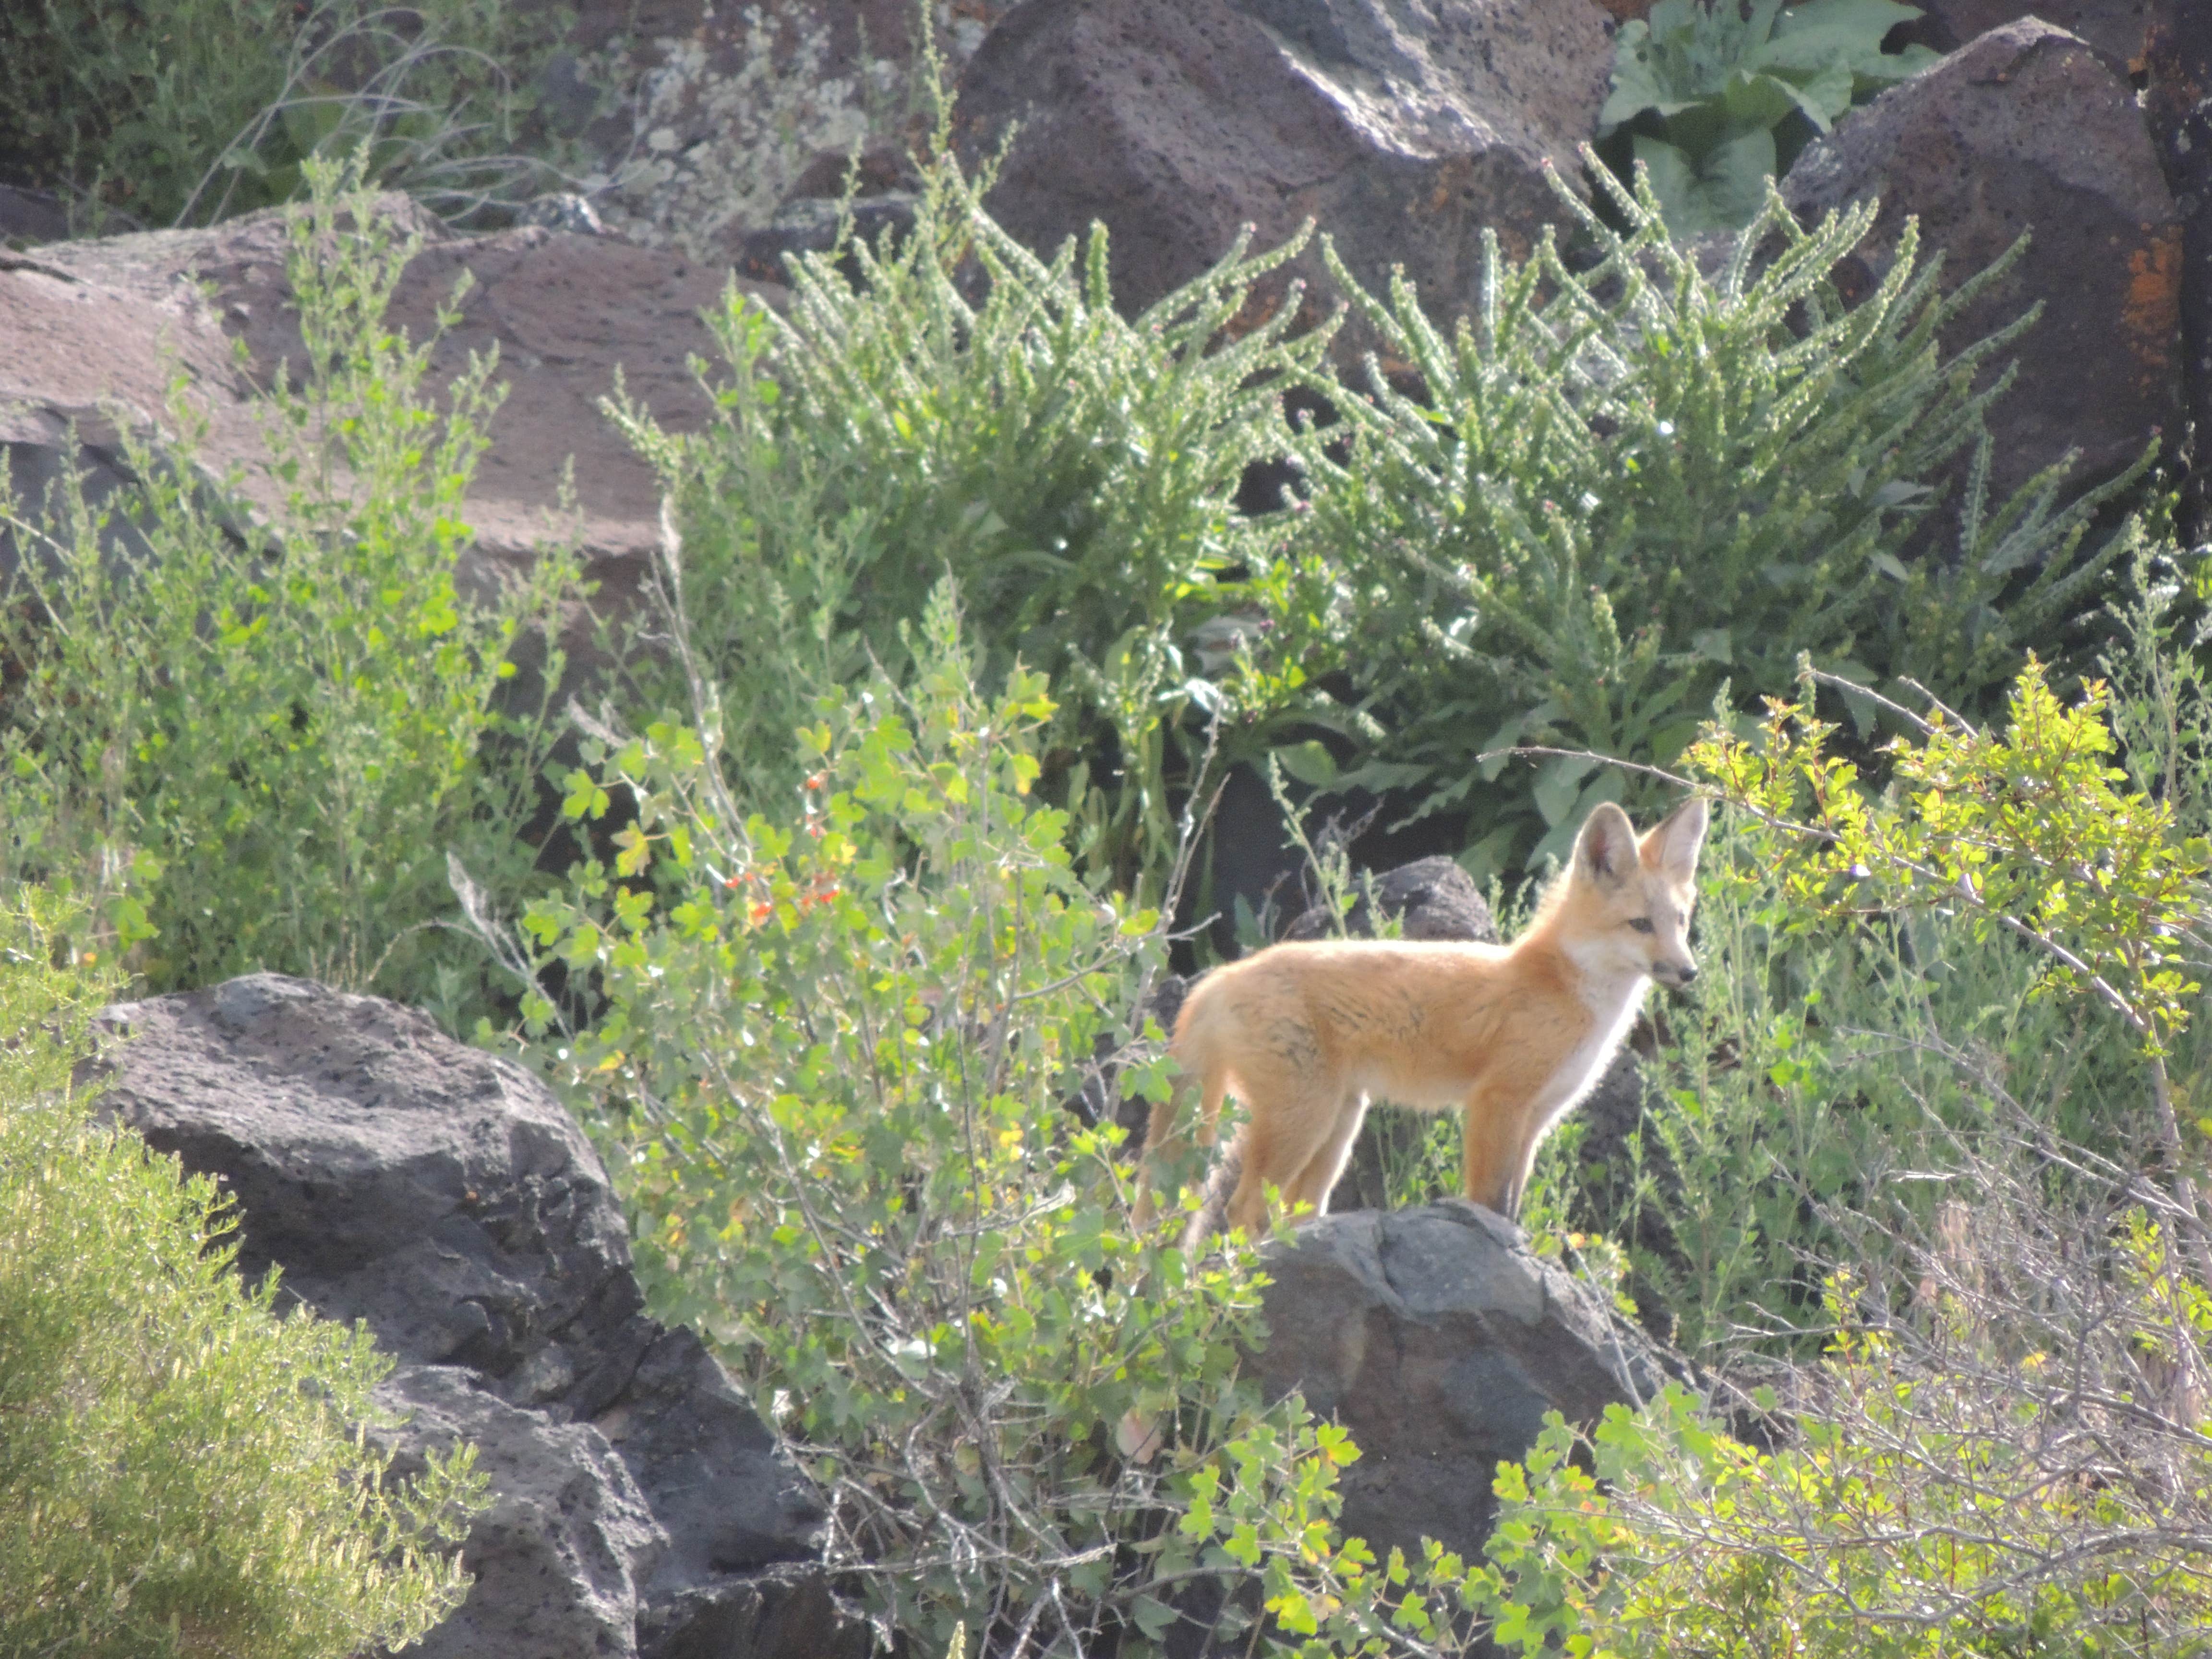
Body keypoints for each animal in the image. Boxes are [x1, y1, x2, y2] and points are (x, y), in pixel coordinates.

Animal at [1141, 801, 1707, 1238]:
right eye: (1640, 925)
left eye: (1680, 922)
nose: (1689, 973)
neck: (1566, 988)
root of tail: (1223, 975)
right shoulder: (1497, 1103)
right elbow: (1488, 1202)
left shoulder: (1536, 1120)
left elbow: (1512, 1205)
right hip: (1303, 1120)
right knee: (1243, 1210)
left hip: (1339, 1127)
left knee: (1290, 1212)